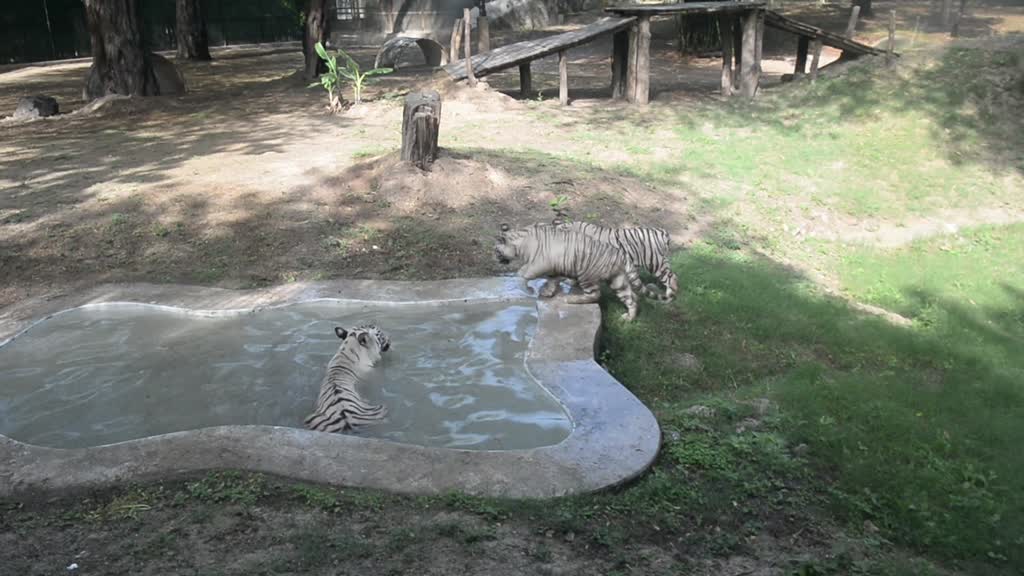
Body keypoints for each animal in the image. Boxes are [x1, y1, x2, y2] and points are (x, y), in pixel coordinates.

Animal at [493, 220, 667, 317]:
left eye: (496, 250)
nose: (494, 257)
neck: (520, 242)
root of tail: (622, 255)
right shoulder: (553, 267)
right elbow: (552, 280)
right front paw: (547, 292)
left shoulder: (538, 263)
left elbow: (523, 273)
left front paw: (528, 290)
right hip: (618, 280)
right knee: (631, 297)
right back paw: (628, 318)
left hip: (587, 276)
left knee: (595, 295)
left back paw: (572, 299)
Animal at [548, 219, 684, 301]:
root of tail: (662, 231)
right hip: (661, 262)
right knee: (673, 275)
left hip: (655, 263)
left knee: (671, 278)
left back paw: (669, 297)